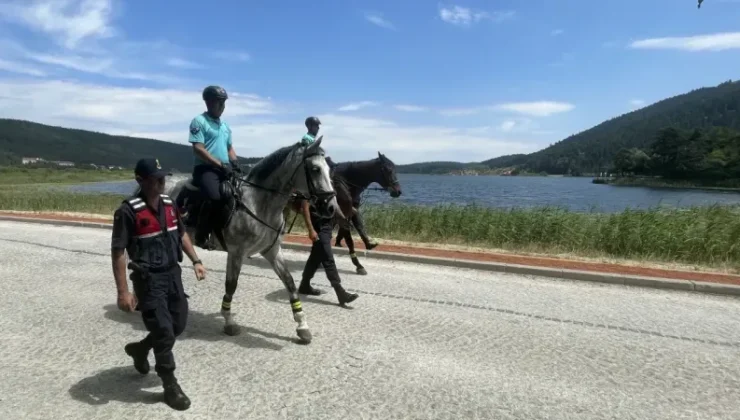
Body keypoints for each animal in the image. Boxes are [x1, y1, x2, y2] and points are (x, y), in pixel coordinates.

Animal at [133, 139, 338, 342]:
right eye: (315, 169)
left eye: (329, 170)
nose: (331, 207)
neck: (258, 203)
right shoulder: (236, 252)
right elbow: (231, 285)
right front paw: (229, 321)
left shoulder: (271, 251)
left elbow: (289, 282)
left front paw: (302, 326)